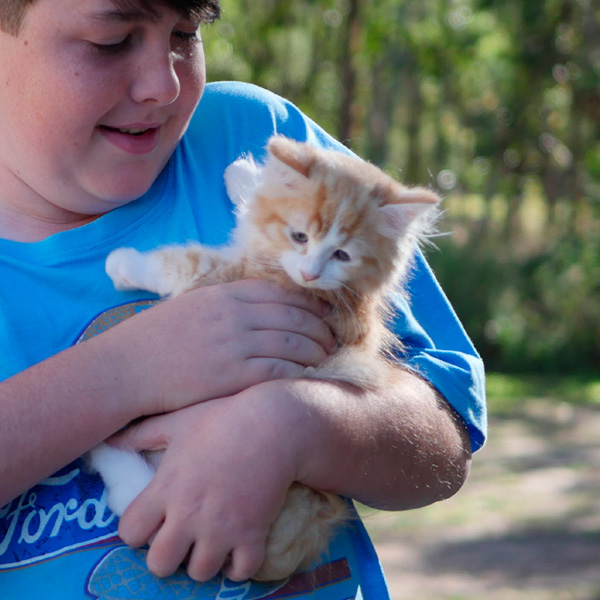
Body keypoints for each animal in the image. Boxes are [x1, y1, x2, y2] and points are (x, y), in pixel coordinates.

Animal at [89, 136, 438, 580]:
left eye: (342, 255)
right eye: (300, 236)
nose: (310, 273)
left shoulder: (238, 277)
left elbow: (187, 264)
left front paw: (125, 263)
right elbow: (255, 207)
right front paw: (244, 175)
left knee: (138, 500)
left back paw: (105, 450)